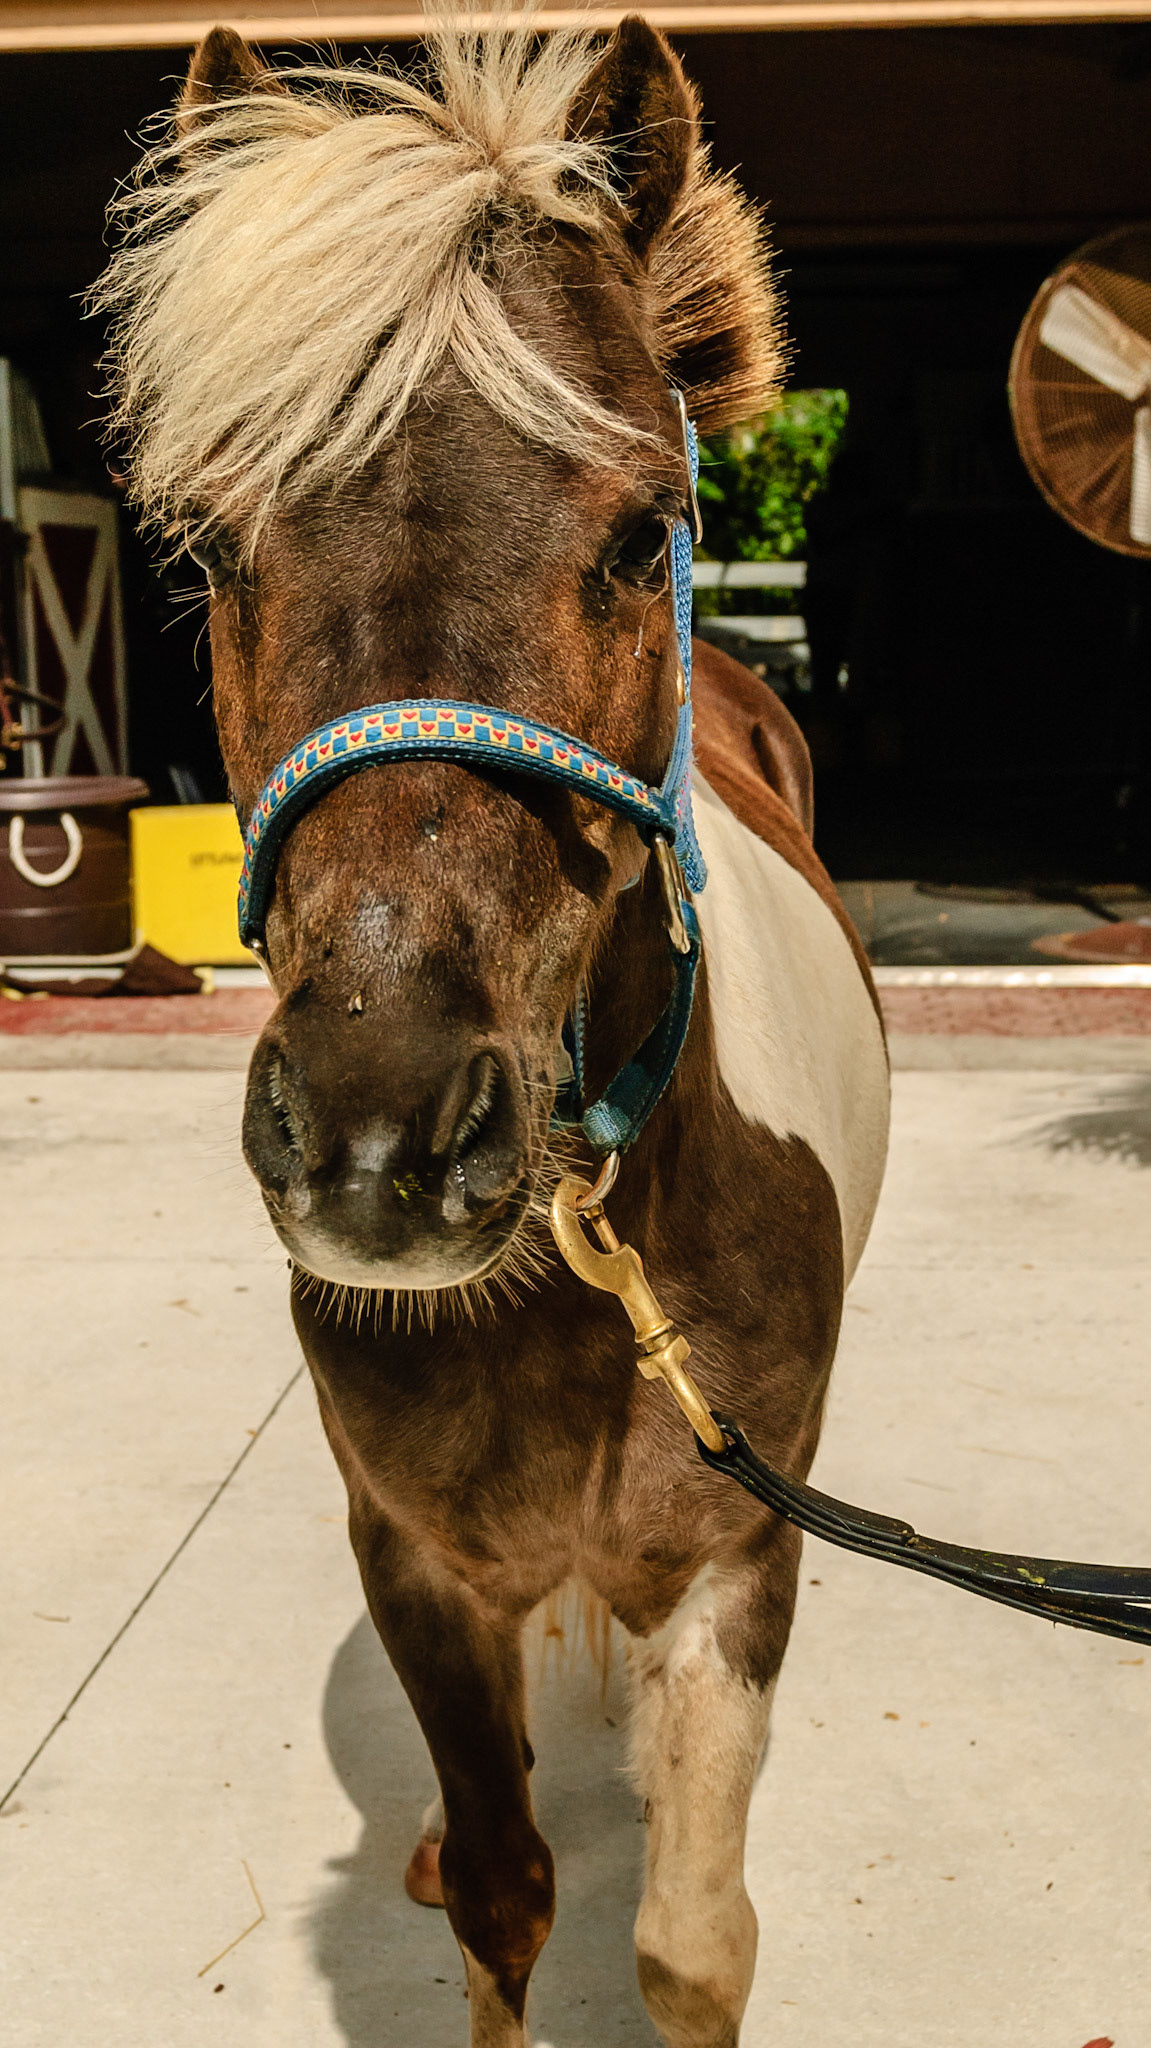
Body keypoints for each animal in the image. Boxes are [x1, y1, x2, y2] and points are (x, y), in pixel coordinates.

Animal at [97, 19, 890, 2044]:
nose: (380, 1144)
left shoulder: (738, 1561)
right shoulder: (417, 1561)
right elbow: (504, 1897)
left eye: (639, 536)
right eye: (210, 552)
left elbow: (688, 1938)